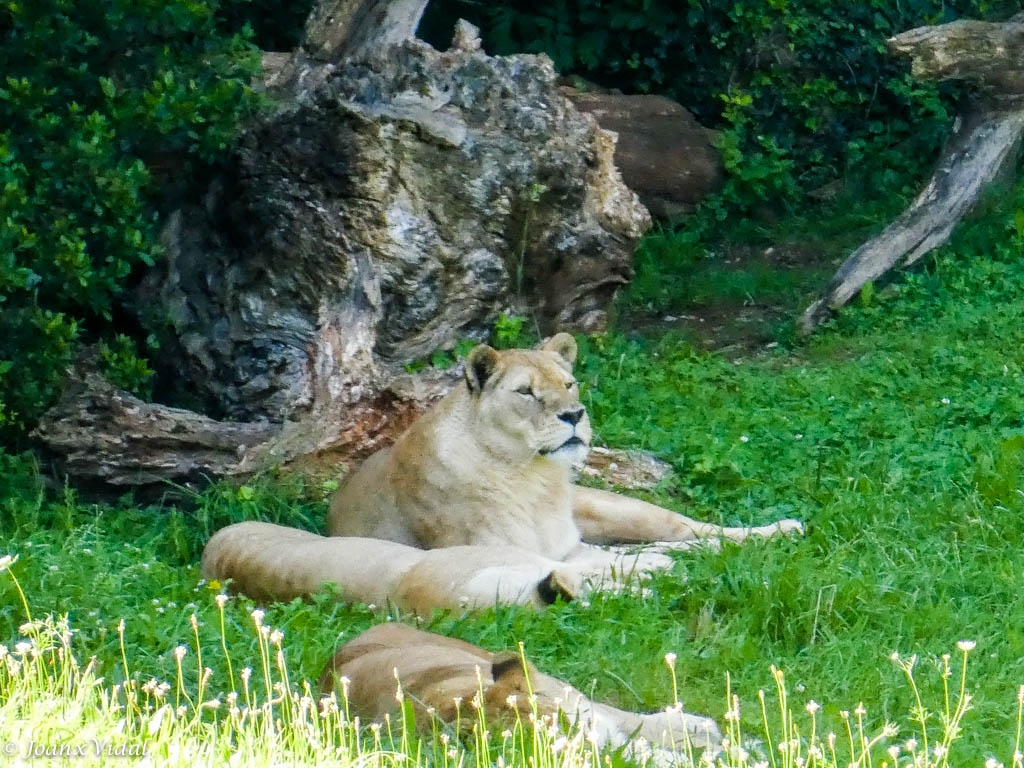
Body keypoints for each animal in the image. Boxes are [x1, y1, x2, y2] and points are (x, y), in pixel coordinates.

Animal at [203, 331, 802, 614]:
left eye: (569, 382)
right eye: (526, 393)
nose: (574, 415)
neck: (534, 478)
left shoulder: (566, 544)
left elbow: (622, 556)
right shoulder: (514, 550)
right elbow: (610, 565)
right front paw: (660, 570)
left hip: (615, 508)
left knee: (690, 529)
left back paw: (776, 532)